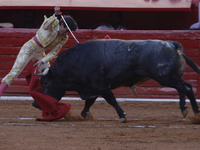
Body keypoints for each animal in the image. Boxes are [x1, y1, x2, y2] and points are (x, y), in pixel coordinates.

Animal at [37, 39, 200, 122]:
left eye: (46, 83)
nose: (36, 104)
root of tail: (172, 45)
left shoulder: (100, 86)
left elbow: (111, 100)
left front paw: (122, 116)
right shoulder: (92, 88)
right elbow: (89, 102)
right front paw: (85, 114)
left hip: (164, 77)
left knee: (182, 87)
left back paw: (184, 109)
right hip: (170, 77)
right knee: (188, 87)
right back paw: (196, 113)